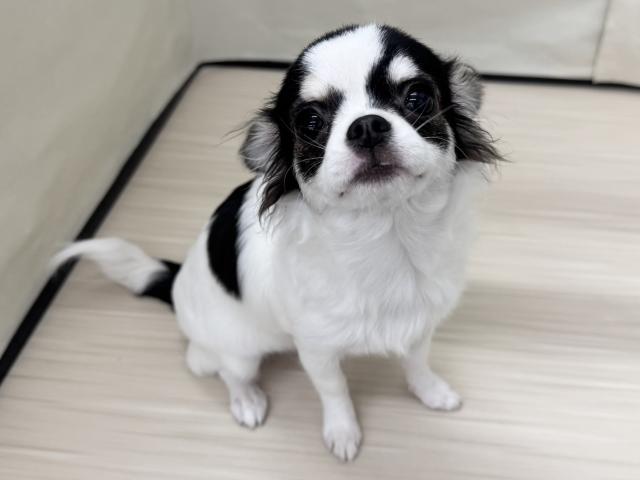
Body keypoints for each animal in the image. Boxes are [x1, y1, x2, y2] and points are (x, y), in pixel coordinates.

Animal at [53, 24, 500, 461]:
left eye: (418, 97)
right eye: (310, 122)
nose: (367, 125)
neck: (387, 236)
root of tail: (178, 282)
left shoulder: (420, 325)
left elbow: (417, 363)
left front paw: (431, 391)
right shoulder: (317, 350)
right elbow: (334, 390)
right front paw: (342, 431)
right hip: (238, 350)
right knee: (225, 371)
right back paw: (246, 400)